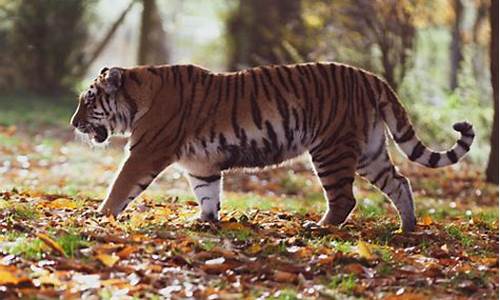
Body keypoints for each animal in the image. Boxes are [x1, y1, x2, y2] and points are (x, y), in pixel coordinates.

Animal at [69, 62, 472, 232]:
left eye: (88, 102)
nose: (73, 124)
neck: (138, 94)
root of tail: (372, 77)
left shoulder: (145, 152)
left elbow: (120, 185)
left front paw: (99, 216)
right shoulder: (201, 164)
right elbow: (207, 193)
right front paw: (204, 221)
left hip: (331, 149)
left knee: (344, 198)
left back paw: (320, 228)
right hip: (370, 152)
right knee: (400, 182)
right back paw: (408, 228)